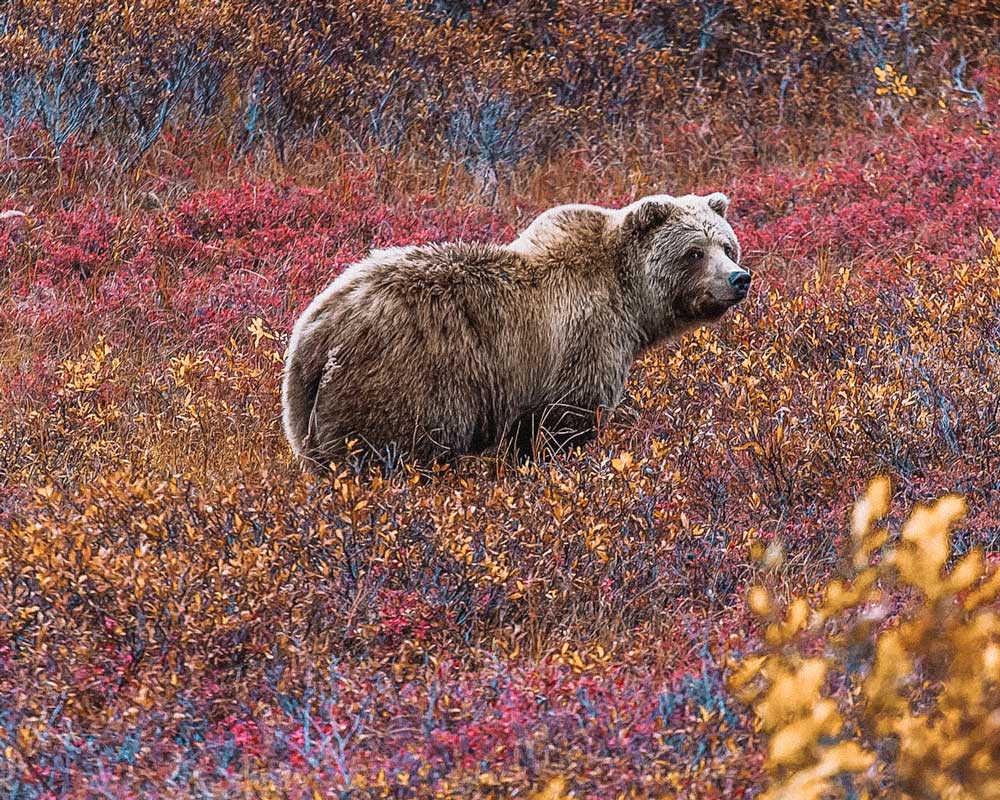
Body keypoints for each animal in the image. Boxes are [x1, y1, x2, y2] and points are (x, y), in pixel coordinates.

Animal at [282, 193, 752, 466]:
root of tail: (318, 333)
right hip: (401, 386)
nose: (738, 278)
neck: (631, 300)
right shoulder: (583, 342)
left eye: (727, 245)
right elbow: (562, 423)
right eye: (694, 251)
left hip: (304, 411)